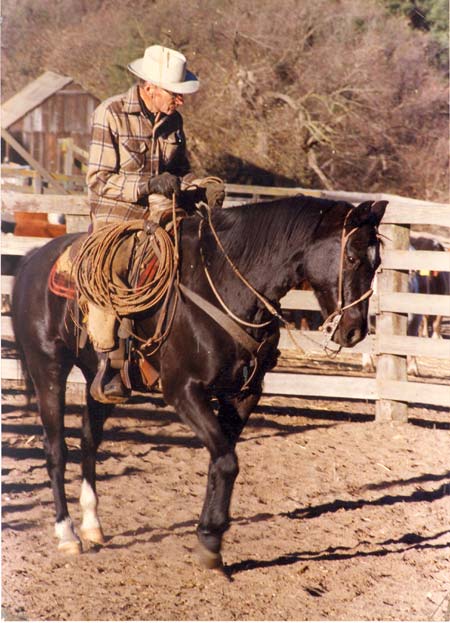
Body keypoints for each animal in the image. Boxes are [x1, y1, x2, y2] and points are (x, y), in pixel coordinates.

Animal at [12, 196, 386, 572]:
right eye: (351, 257)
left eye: (377, 263)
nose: (355, 331)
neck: (225, 285)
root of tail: (34, 259)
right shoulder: (184, 392)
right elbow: (227, 460)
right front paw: (209, 539)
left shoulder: (243, 395)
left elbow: (222, 459)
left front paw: (210, 535)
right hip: (48, 368)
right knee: (55, 450)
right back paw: (67, 534)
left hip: (97, 382)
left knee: (89, 442)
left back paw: (92, 525)